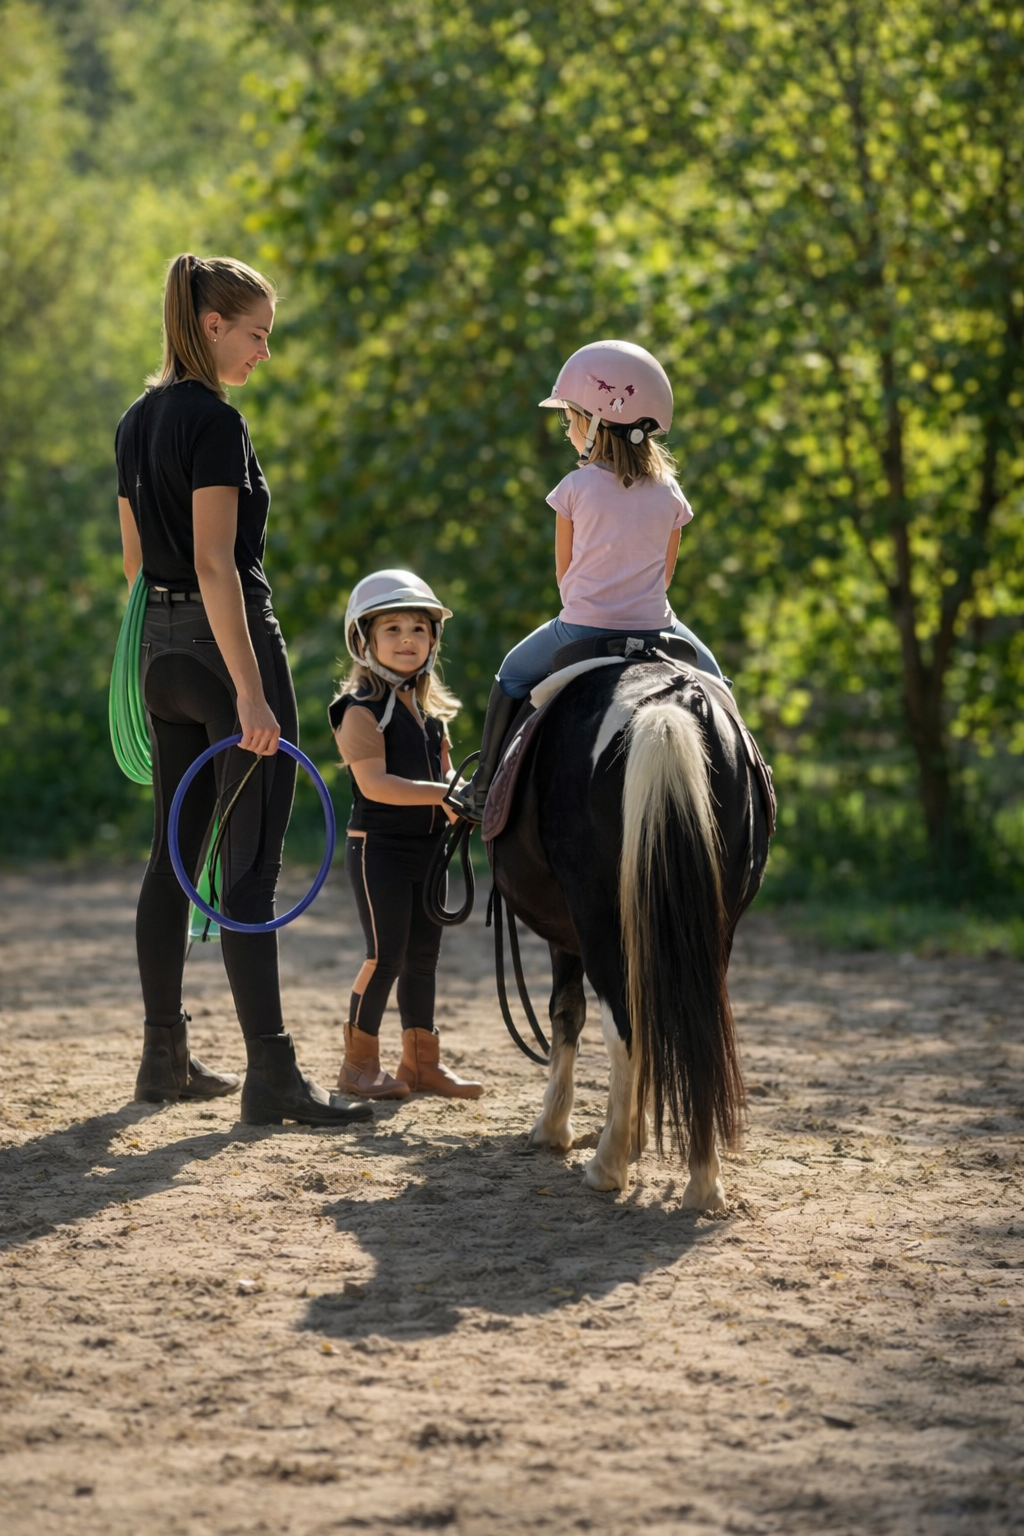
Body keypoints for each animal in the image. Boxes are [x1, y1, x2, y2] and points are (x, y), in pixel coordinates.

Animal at [484, 653, 774, 1209]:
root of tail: (672, 703)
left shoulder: (569, 933)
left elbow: (567, 1013)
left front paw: (554, 1129)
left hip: (597, 918)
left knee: (625, 1026)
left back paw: (607, 1165)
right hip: (712, 931)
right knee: (697, 1025)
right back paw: (703, 1183)